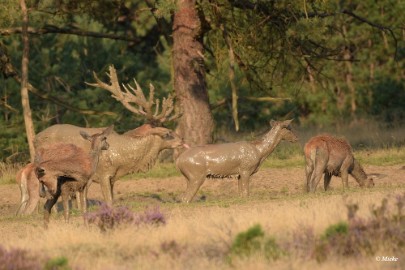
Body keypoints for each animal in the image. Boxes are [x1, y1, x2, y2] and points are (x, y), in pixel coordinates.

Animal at [34, 66, 187, 206]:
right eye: (167, 133)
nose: (182, 139)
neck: (123, 160)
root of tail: (35, 137)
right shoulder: (103, 174)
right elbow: (108, 201)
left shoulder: (112, 177)